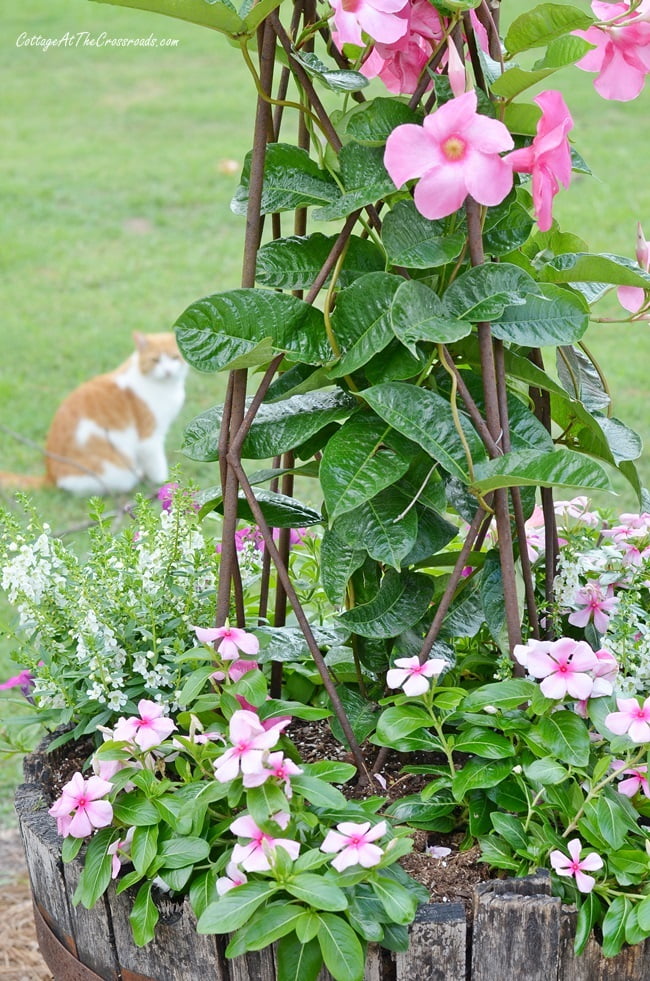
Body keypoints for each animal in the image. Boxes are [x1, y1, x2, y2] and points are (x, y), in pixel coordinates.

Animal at [1, 334, 187, 494]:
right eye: (156, 360)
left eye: (175, 358)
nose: (168, 371)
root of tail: (50, 475)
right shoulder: (149, 439)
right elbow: (158, 465)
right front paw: (164, 484)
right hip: (116, 470)